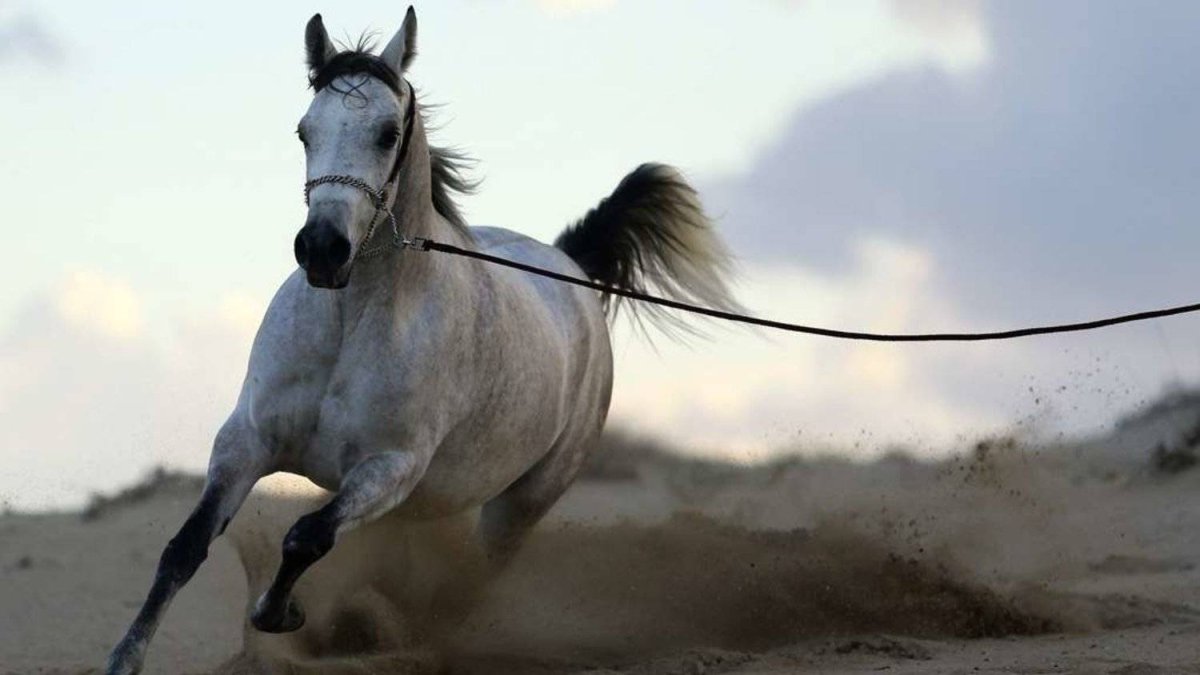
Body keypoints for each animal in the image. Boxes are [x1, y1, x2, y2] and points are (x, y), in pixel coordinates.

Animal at [105, 8, 739, 674]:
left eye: (388, 133)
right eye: (304, 131)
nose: (322, 249)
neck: (349, 327)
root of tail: (568, 265)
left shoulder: (390, 468)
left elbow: (306, 537)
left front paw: (281, 615)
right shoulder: (246, 442)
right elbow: (185, 548)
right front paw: (125, 658)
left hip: (520, 504)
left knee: (467, 587)